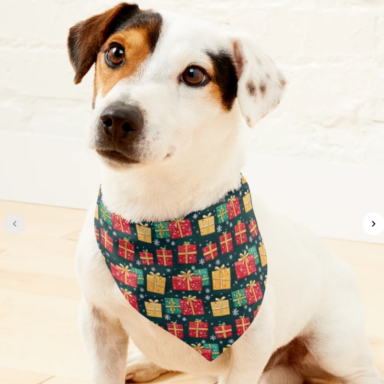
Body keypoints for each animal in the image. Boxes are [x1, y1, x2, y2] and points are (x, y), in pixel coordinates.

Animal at [67, 3, 382, 384]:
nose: (117, 119)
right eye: (115, 52)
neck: (155, 214)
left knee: (362, 368)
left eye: (194, 75)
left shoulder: (251, 351)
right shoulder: (98, 322)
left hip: (332, 343)